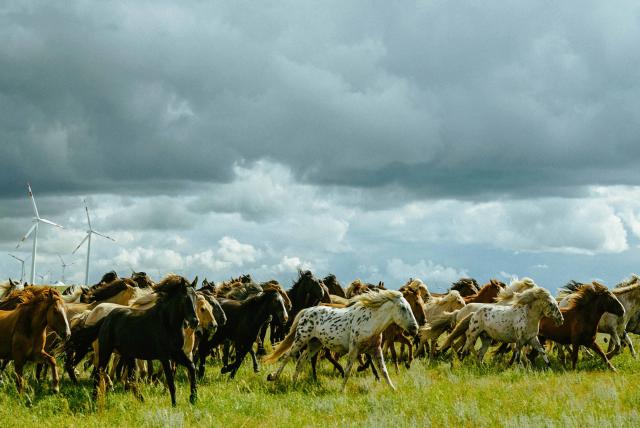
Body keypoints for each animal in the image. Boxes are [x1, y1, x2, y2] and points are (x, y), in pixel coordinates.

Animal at [68, 272, 199, 406]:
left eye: (196, 297)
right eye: (185, 298)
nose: (194, 321)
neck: (167, 323)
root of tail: (105, 317)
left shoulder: (177, 353)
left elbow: (192, 367)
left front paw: (193, 398)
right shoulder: (164, 356)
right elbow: (171, 381)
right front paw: (174, 405)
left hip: (127, 354)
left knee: (126, 375)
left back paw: (138, 397)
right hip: (105, 350)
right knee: (100, 371)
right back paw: (96, 398)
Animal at [262, 290, 418, 392]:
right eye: (403, 308)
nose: (415, 328)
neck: (370, 322)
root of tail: (306, 311)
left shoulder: (375, 350)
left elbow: (383, 371)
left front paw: (393, 389)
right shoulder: (354, 349)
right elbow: (348, 371)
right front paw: (341, 390)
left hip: (315, 344)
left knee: (301, 360)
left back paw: (294, 383)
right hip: (301, 340)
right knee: (287, 357)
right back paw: (273, 377)